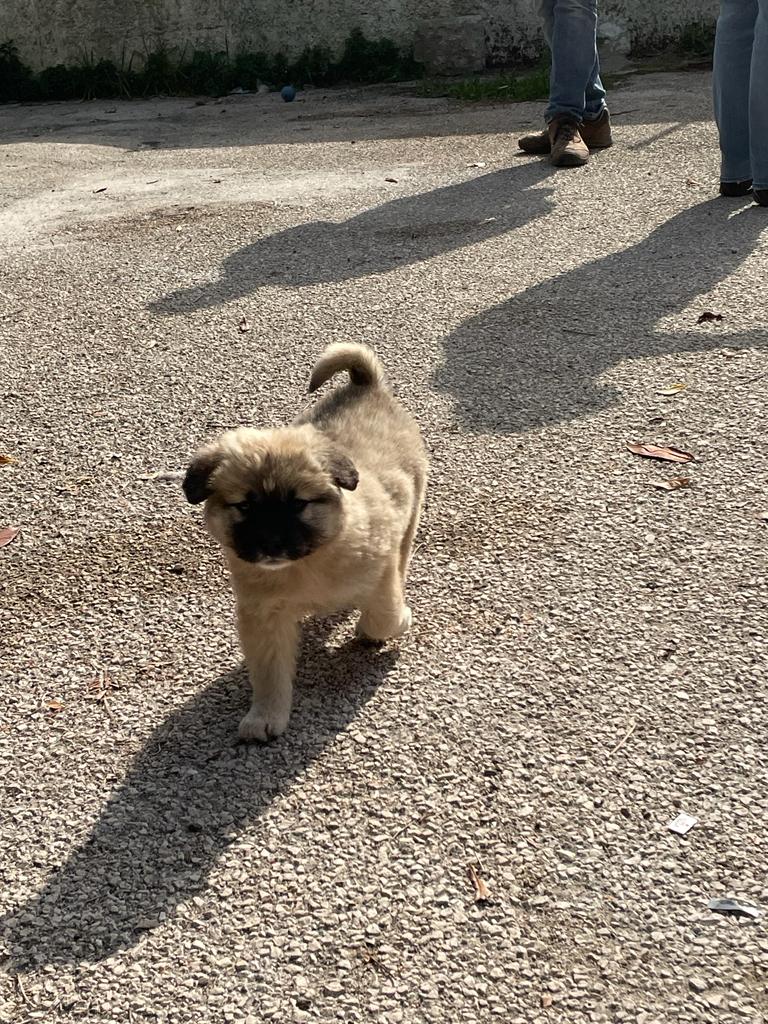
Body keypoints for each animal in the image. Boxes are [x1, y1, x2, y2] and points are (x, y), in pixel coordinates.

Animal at [183, 343, 428, 741]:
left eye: (298, 504)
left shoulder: (380, 573)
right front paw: (266, 716)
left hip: (411, 513)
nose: (271, 544)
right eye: (245, 506)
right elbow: (269, 674)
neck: (312, 560)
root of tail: (365, 386)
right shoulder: (263, 617)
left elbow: (384, 616)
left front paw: (392, 622)